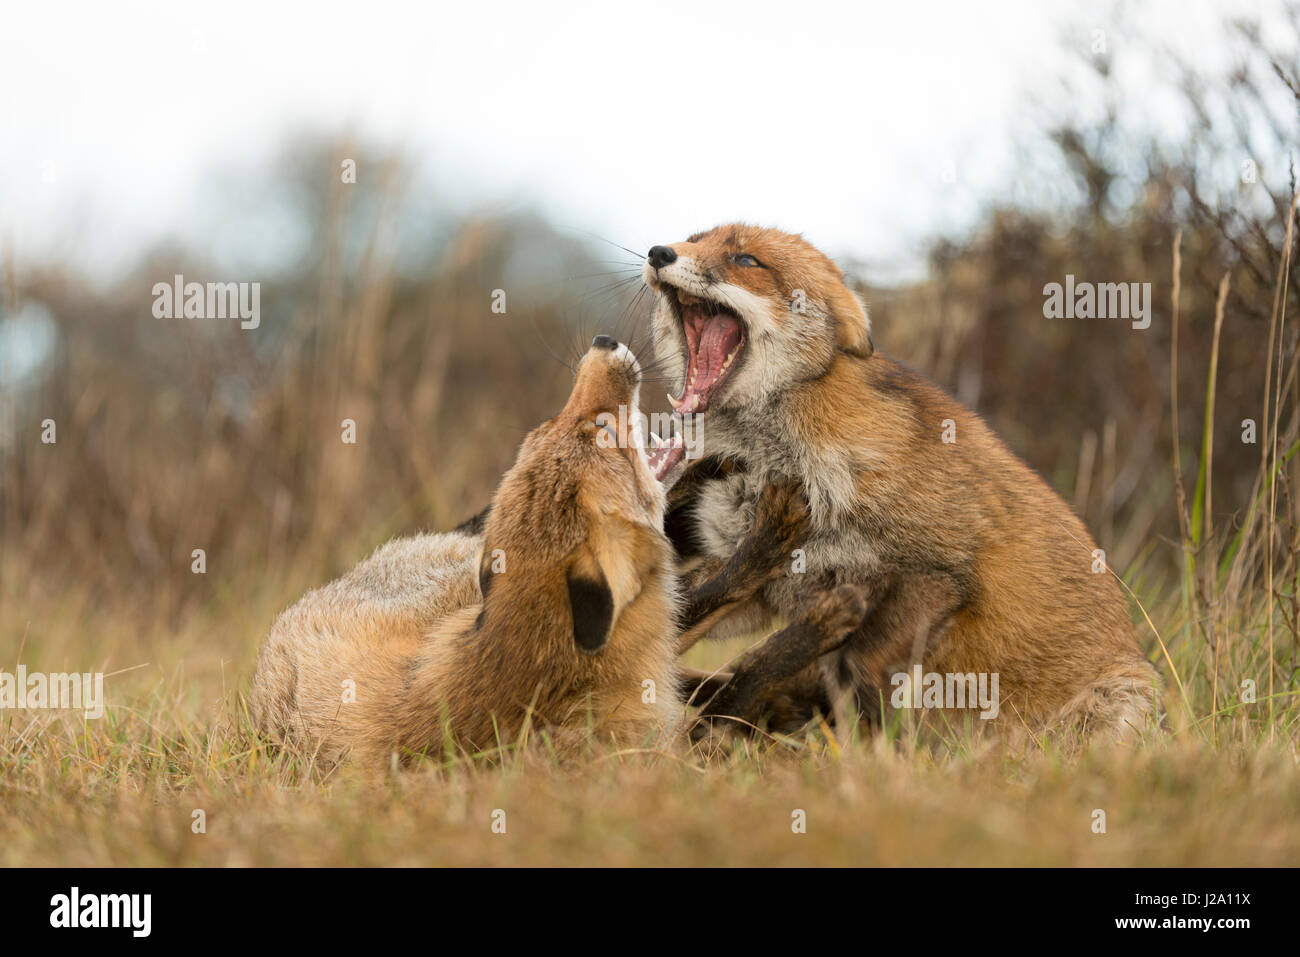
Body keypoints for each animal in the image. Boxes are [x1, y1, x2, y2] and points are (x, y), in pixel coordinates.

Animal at [639, 226, 1159, 748]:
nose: (659, 252)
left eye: (746, 259)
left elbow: (856, 665)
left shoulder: (936, 575)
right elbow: (704, 609)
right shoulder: (761, 584)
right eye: (694, 239)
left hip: (1121, 704)